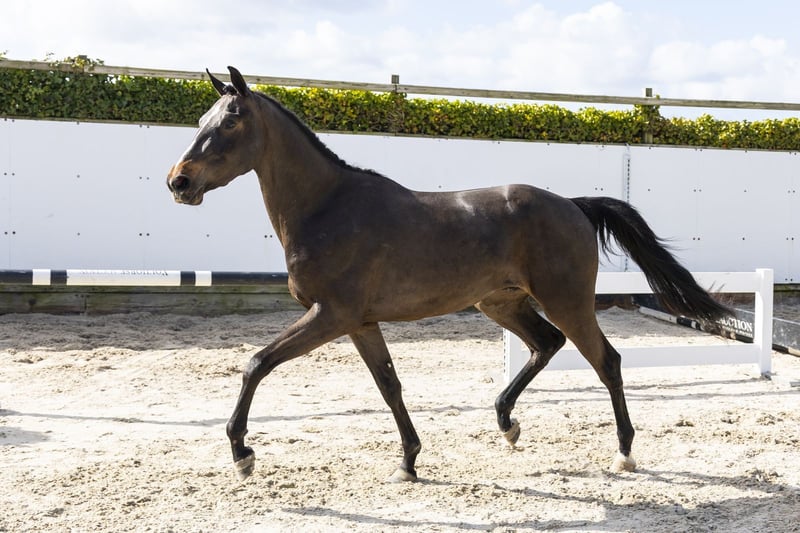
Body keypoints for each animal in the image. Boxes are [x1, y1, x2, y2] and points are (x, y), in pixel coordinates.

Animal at [167, 66, 731, 483]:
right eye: (201, 118)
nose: (179, 181)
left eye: (231, 120)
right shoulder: (359, 322)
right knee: (546, 344)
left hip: (567, 301)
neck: (327, 207)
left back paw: (624, 453)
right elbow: (389, 385)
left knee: (606, 361)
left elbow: (256, 364)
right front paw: (408, 462)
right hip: (501, 301)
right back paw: (507, 423)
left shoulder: (330, 315)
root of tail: (574, 206)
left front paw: (242, 454)